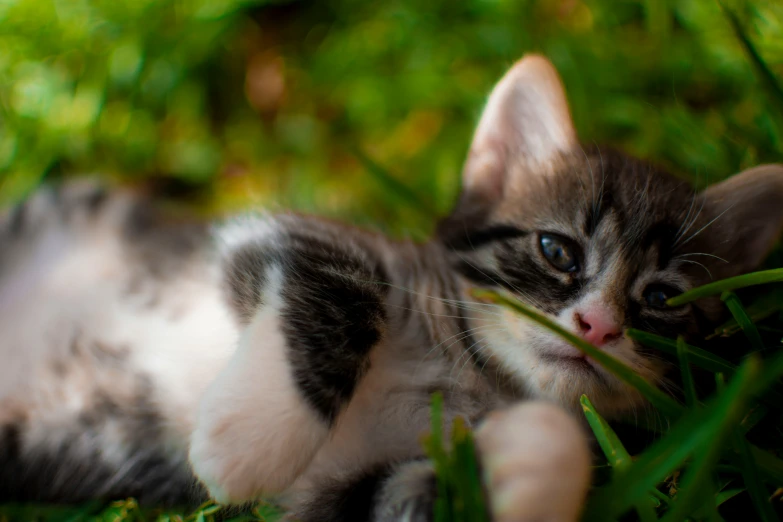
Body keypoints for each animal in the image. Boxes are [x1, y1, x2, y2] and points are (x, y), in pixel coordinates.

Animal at [1, 54, 783, 516]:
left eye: (661, 299)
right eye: (557, 251)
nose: (597, 325)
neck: (469, 370)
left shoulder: (333, 495)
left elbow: (402, 491)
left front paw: (522, 465)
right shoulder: (269, 235)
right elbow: (343, 288)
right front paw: (246, 443)